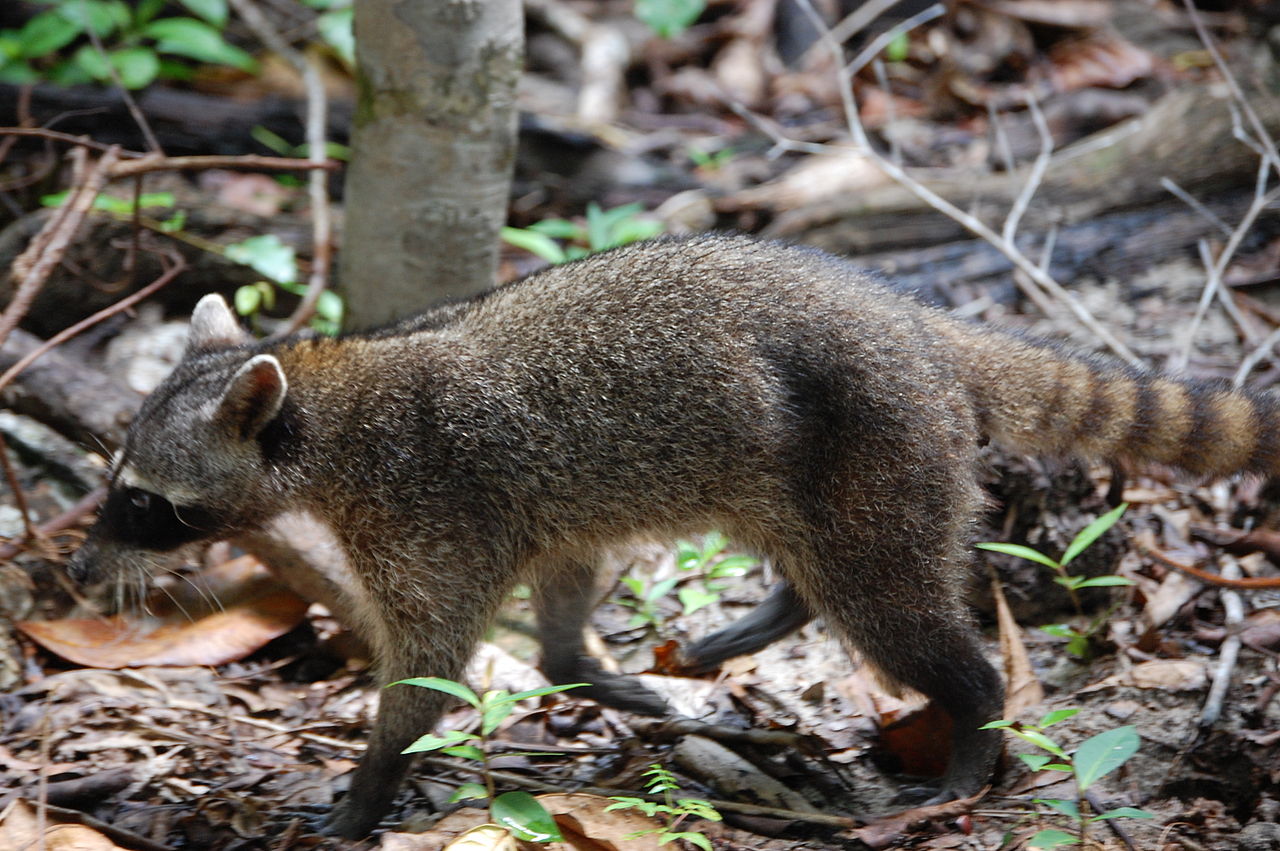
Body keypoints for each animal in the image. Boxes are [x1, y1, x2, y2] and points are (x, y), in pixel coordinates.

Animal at [67, 234, 1280, 834]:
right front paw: (585, 670)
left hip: (882, 442)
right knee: (828, 563)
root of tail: (916, 323)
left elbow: (431, 667)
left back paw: (972, 720)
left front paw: (367, 787)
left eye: (143, 504)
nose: (77, 571)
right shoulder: (521, 508)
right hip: (825, 465)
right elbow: (558, 592)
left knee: (890, 603)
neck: (325, 399)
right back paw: (773, 611)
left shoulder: (429, 507)